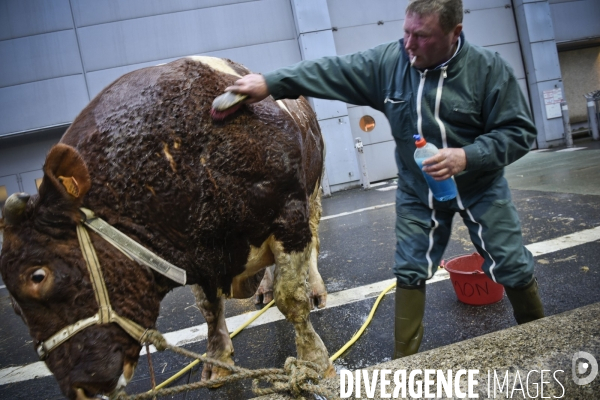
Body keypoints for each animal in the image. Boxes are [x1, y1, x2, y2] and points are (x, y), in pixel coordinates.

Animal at [0, 57, 332, 400]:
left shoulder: (288, 216)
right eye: (12, 307)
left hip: (313, 198)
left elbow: (291, 298)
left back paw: (316, 290)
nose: (79, 388)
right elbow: (209, 308)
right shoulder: (197, 254)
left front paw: (315, 362)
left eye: (37, 276)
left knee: (313, 248)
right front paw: (219, 360)